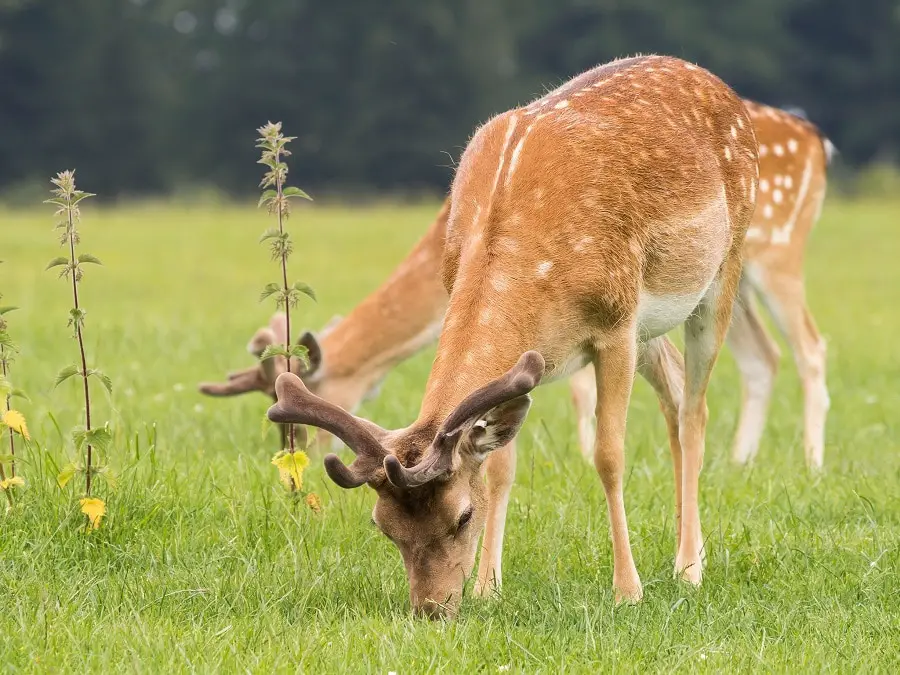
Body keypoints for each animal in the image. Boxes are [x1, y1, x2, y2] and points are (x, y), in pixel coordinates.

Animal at [266, 56, 760, 616]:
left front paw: (627, 591)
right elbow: (501, 465)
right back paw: (687, 553)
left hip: (721, 270)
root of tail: (720, 86)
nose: (431, 609)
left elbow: (609, 455)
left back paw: (690, 569)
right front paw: (489, 586)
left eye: (461, 516)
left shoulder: (614, 324)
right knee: (674, 391)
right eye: (382, 526)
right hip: (649, 322)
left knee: (696, 408)